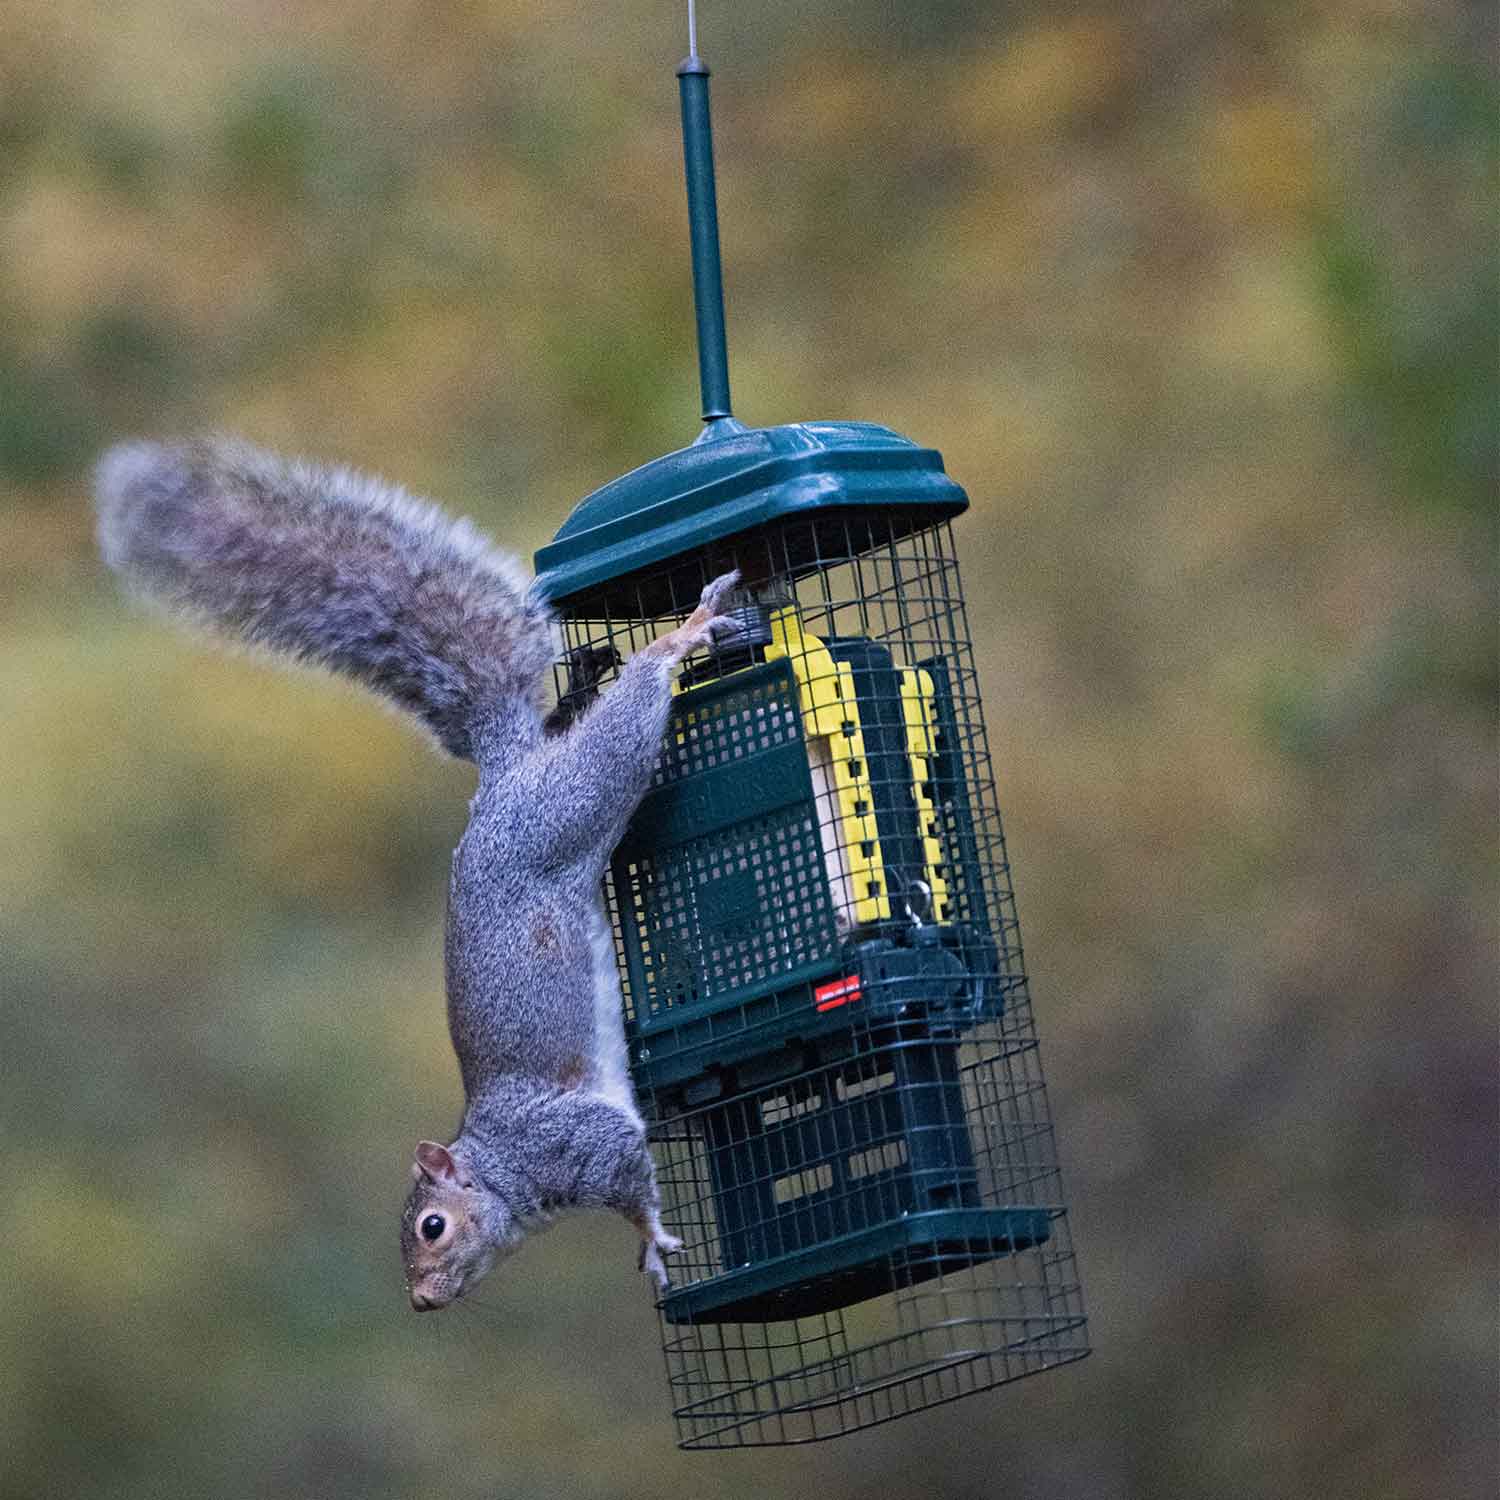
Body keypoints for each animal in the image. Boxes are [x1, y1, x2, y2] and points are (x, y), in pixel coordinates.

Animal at [94, 436, 744, 1308]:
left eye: (433, 1226)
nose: (422, 1299)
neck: (503, 1169)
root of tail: (505, 773)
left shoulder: (580, 1141)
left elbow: (629, 1177)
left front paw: (652, 1238)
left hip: (576, 796)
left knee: (633, 706)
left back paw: (683, 637)